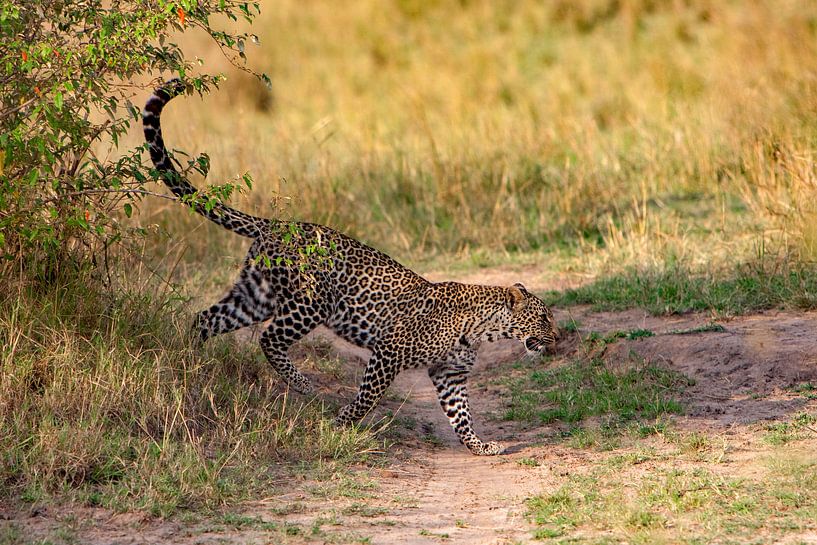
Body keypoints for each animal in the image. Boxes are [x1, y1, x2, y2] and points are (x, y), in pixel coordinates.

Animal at [142, 79, 559, 455]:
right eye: (543, 318)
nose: (557, 338)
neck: (485, 329)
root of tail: (274, 224)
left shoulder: (449, 374)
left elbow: (461, 416)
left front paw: (479, 446)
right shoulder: (388, 351)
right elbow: (368, 398)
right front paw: (342, 424)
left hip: (255, 295)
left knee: (206, 319)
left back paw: (188, 363)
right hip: (308, 304)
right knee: (269, 338)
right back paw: (301, 384)